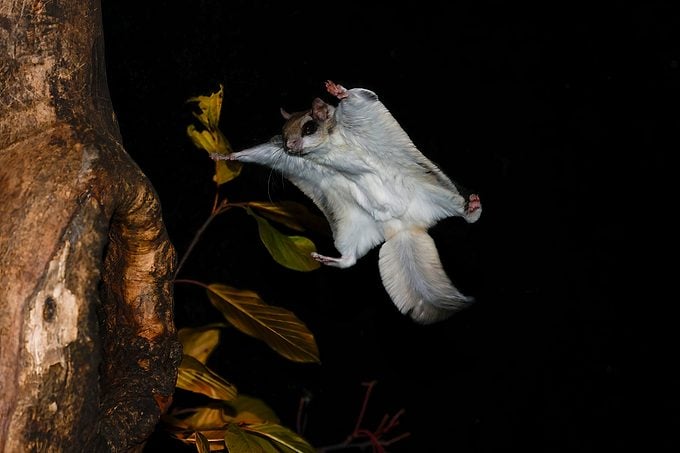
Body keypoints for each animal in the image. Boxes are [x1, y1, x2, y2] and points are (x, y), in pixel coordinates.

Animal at [213, 80, 481, 324]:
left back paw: (472, 208)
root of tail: (402, 227)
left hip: (436, 193)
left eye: (309, 127)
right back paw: (329, 259)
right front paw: (227, 156)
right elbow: (261, 153)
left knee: (464, 213)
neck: (327, 147)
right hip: (352, 227)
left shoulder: (357, 112)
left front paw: (338, 91)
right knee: (349, 260)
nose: (288, 146)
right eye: (284, 131)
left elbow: (355, 99)